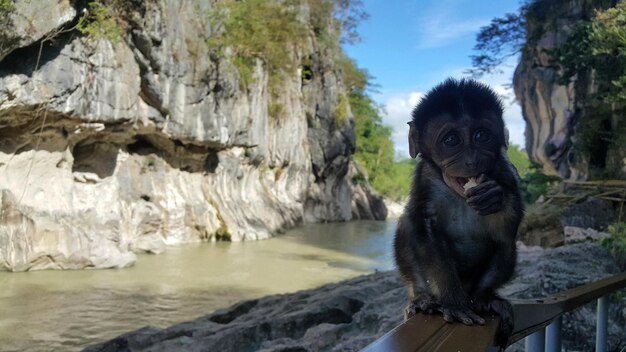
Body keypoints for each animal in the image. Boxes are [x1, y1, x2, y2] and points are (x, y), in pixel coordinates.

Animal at [394, 77, 520, 346]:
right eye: (451, 140)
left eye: (481, 135)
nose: (472, 160)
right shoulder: (426, 179)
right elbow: (425, 229)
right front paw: (454, 303)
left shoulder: (504, 169)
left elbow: (507, 229)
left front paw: (495, 196)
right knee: (407, 225)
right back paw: (423, 299)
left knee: (506, 242)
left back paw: (485, 298)